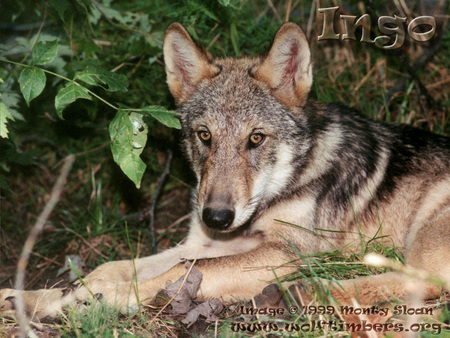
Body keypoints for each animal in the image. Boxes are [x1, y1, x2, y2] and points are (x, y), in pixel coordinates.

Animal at [0, 22, 450, 320]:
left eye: (256, 139)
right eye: (204, 136)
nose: (216, 216)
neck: (294, 178)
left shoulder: (286, 252)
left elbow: (178, 273)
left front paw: (100, 299)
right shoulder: (203, 241)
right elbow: (113, 266)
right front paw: (35, 299)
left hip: (423, 237)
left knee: (425, 283)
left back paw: (305, 290)